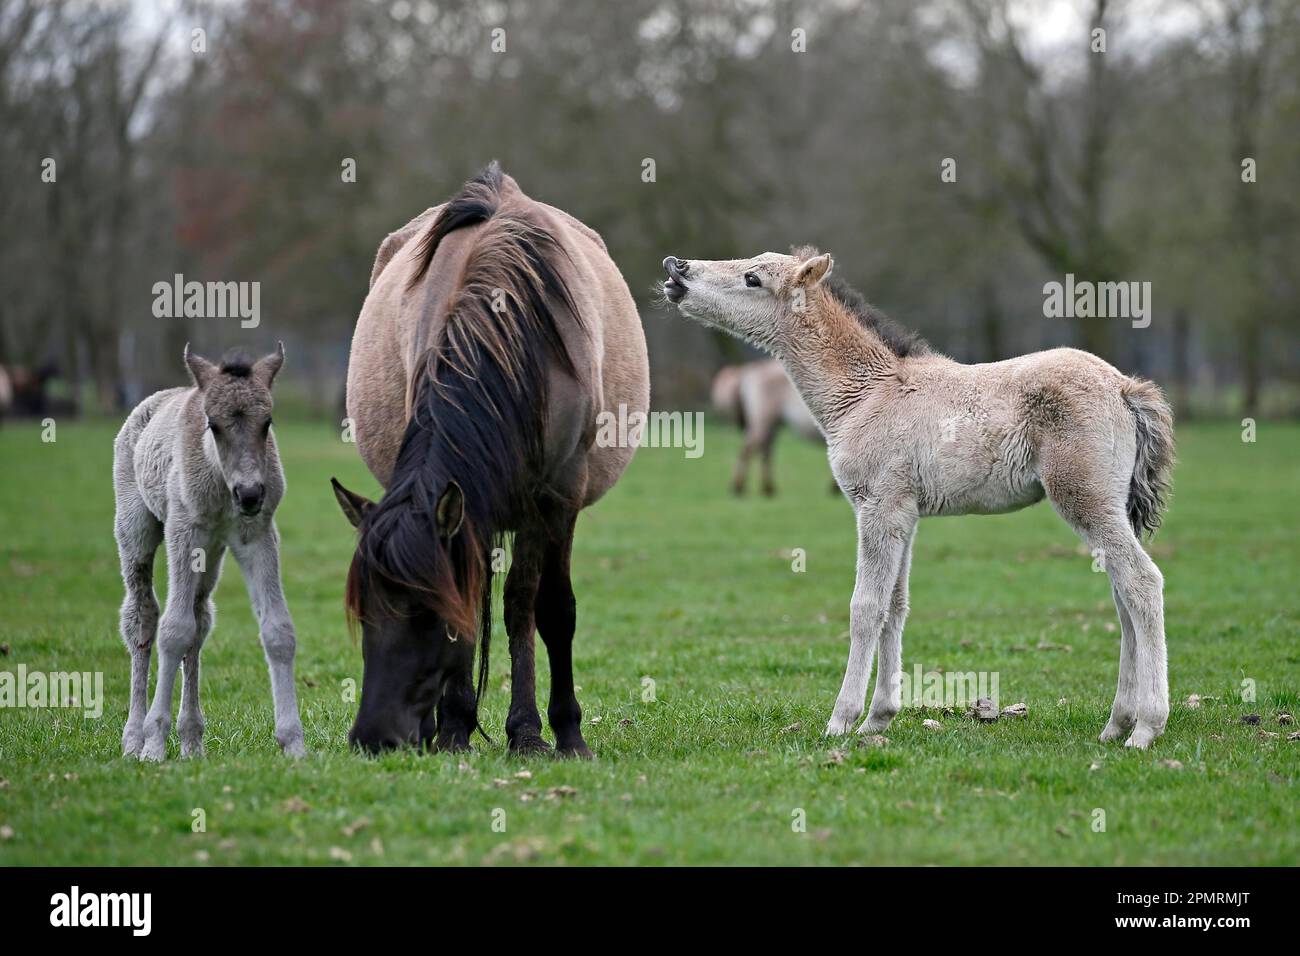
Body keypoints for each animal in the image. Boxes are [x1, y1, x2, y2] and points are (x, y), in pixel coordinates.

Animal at [335, 166, 650, 764]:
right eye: (363, 614)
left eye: (428, 616)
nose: (373, 737)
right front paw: (455, 728)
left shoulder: (557, 498)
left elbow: (548, 609)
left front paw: (554, 732)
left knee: (521, 607)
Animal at [712, 356, 821, 494]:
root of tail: (752, 368)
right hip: (763, 422)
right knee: (749, 450)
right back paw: (739, 487)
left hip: (770, 425)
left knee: (765, 450)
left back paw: (767, 487)